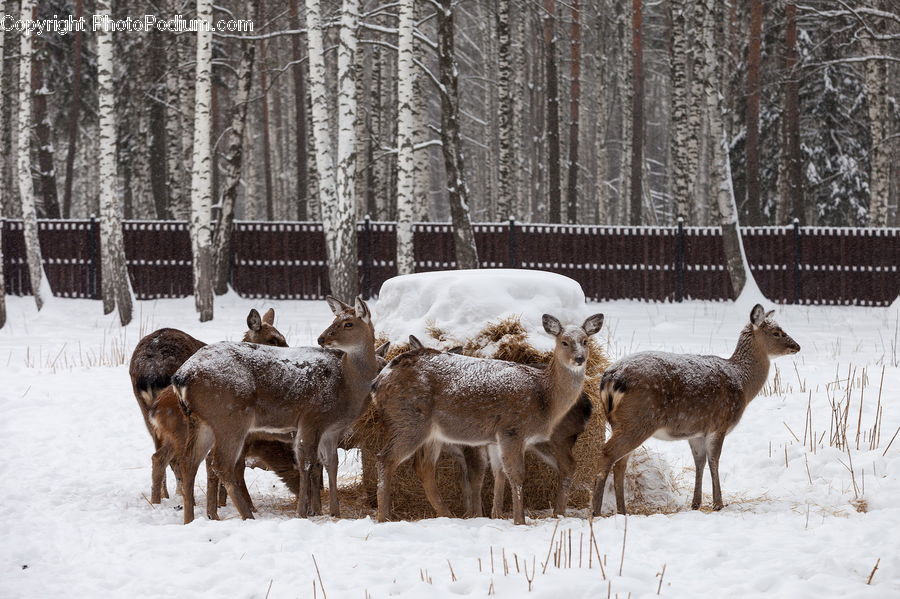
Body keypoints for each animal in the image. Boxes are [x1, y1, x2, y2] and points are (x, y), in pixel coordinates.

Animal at [130, 308, 287, 501]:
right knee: (178, 459)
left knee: (160, 456)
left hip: (147, 414)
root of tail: (151, 373)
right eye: (272, 340)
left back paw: (162, 498)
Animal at [172, 296, 379, 524]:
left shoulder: (332, 429)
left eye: (348, 323)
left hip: (202, 421)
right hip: (230, 417)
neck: (347, 385)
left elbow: (331, 464)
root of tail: (181, 377)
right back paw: (247, 515)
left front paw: (335, 512)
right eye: (335, 320)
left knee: (189, 461)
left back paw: (191, 520)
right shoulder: (311, 417)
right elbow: (306, 462)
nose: (321, 338)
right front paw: (303, 512)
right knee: (221, 464)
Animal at [374, 313, 604, 525]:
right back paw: (384, 517)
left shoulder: (497, 438)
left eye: (585, 341)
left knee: (423, 466)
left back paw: (446, 515)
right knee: (386, 458)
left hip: (430, 431)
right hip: (410, 419)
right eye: (564, 341)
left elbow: (499, 472)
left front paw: (497, 515)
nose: (580, 358)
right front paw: (519, 521)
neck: (543, 395)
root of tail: (380, 379)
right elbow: (516, 474)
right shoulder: (511, 429)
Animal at [591, 304, 800, 516]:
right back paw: (596, 511)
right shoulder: (720, 423)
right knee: (607, 453)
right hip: (638, 419)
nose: (797, 346)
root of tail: (610, 379)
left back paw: (622, 511)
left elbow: (699, 462)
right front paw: (718, 503)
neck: (742, 382)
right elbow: (714, 460)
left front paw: (695, 503)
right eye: (777, 332)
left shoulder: (696, 431)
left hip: (622, 423)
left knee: (620, 463)